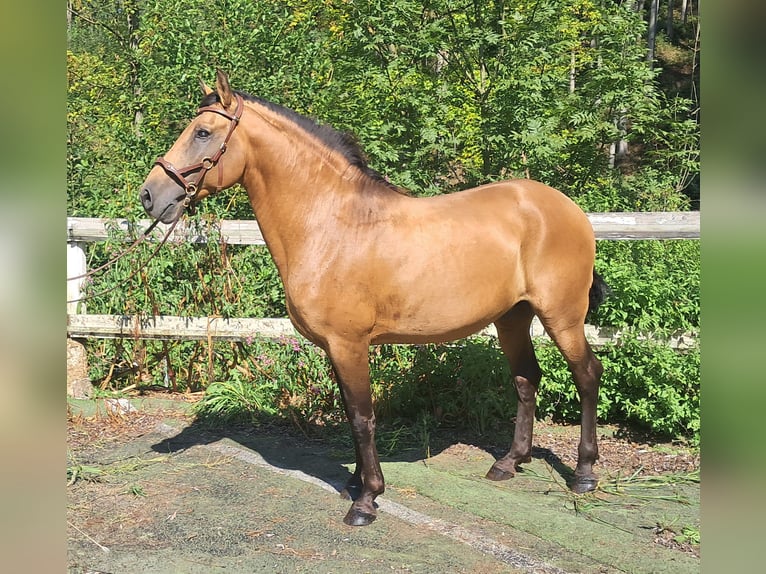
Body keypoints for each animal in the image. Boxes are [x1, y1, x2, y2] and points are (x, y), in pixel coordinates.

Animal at [138, 71, 608, 528]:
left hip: (562, 316)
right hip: (513, 317)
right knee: (527, 378)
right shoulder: (334, 347)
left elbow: (363, 418)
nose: (149, 195)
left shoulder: (350, 344)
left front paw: (366, 500)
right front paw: (355, 482)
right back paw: (509, 462)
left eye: (202, 132)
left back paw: (584, 474)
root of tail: (566, 208)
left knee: (587, 374)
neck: (331, 224)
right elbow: (350, 414)